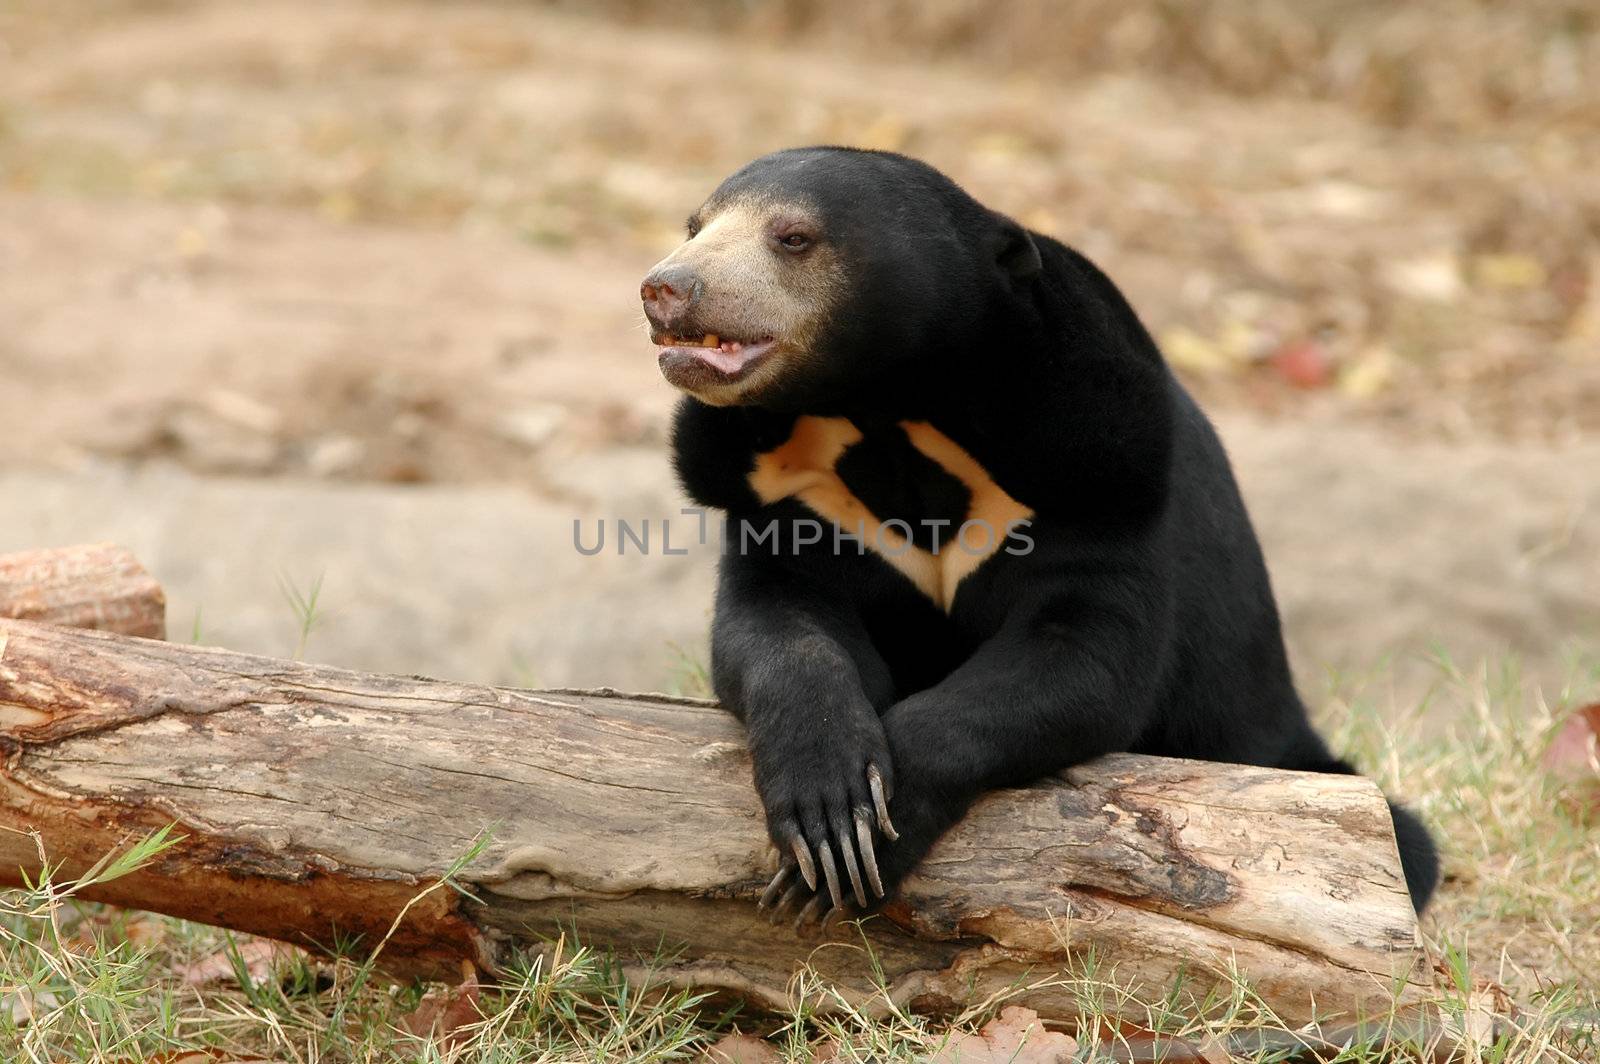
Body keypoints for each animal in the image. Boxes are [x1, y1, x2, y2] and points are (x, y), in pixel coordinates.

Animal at [636, 145, 1440, 928]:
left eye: (794, 237)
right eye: (694, 225)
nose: (664, 288)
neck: (889, 411)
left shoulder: (1093, 474)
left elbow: (1084, 658)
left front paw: (871, 838)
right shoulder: (785, 496)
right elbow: (775, 625)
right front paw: (828, 815)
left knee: (1409, 843)